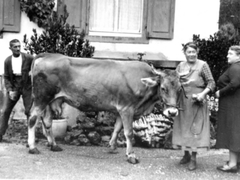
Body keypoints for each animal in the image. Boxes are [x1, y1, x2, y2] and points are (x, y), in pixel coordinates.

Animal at [27, 52, 182, 164]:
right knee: (32, 118)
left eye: (180, 89)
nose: (173, 111)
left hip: (51, 100)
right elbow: (129, 133)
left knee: (47, 121)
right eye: (163, 88)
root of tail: (48, 55)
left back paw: (53, 145)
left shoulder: (121, 109)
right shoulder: (127, 109)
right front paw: (131, 155)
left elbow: (117, 128)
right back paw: (32, 147)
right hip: (41, 97)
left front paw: (112, 146)